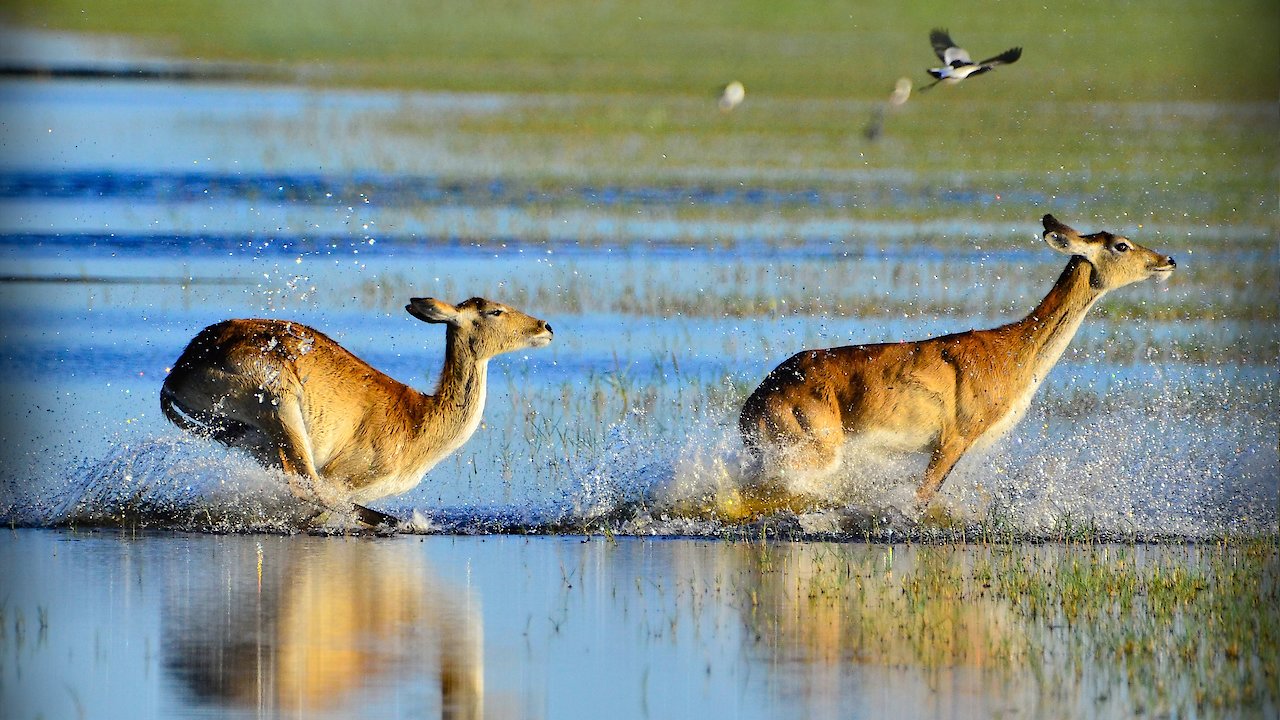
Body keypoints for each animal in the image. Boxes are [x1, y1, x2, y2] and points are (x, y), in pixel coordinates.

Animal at [158, 294, 550, 525]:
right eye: (495, 310)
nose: (545, 327)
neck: (420, 420)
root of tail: (180, 369)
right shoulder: (342, 478)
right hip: (281, 407)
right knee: (307, 486)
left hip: (248, 435)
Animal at [737, 212, 1172, 515]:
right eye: (1121, 245)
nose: (1167, 259)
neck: (1012, 351)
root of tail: (755, 401)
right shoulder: (953, 439)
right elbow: (919, 499)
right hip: (813, 449)